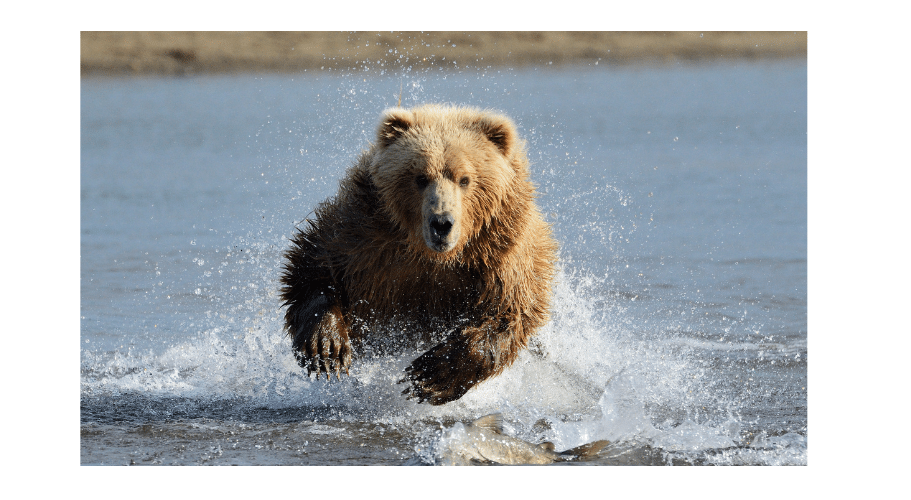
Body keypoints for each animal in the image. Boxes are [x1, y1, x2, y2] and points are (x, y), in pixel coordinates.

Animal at [279, 104, 557, 405]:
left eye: (465, 179)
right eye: (420, 177)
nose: (442, 223)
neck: (433, 256)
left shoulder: (500, 253)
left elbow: (507, 312)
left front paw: (429, 376)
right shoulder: (365, 235)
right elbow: (315, 264)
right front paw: (327, 347)